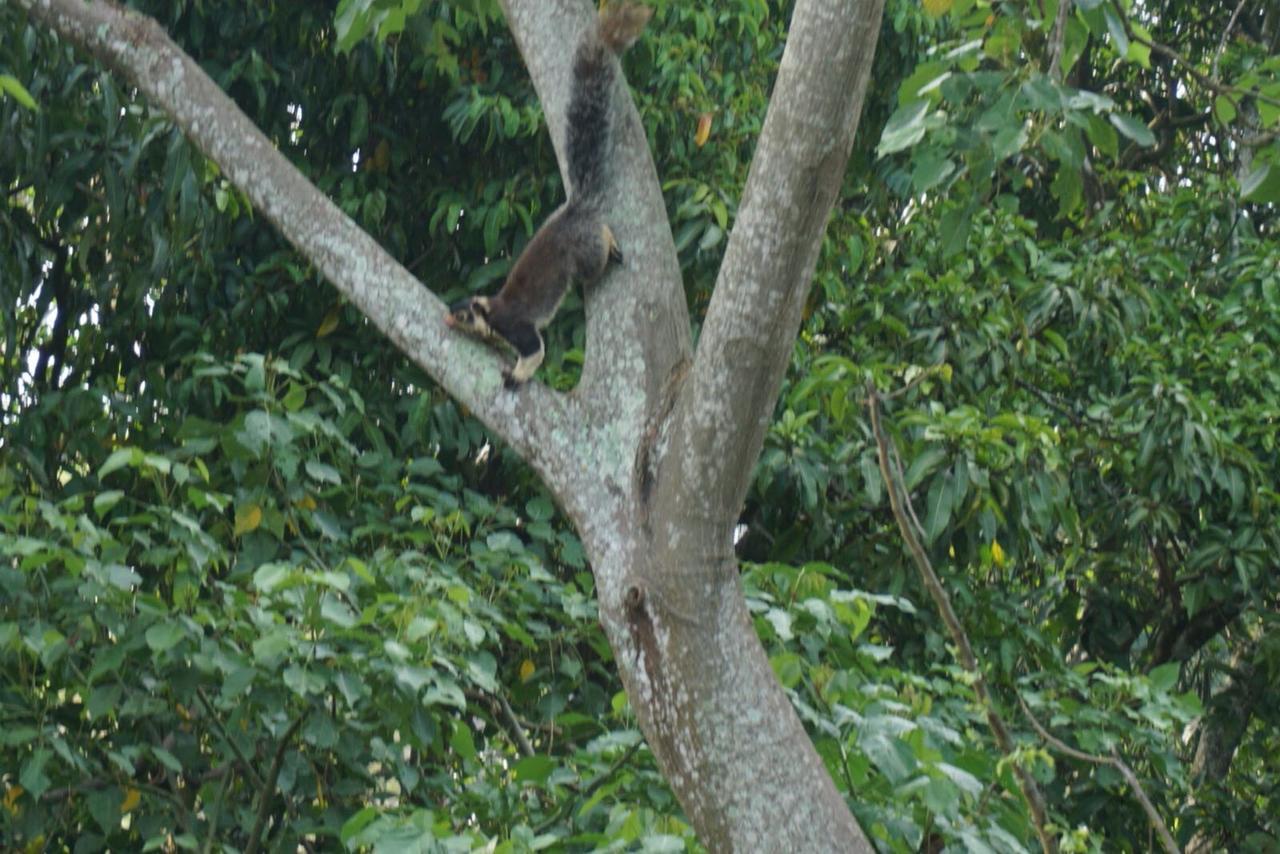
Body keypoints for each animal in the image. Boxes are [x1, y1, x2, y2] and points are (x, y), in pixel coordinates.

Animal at [448, 1, 650, 389]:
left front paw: (515, 375)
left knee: (597, 254)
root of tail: (576, 208)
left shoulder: (514, 325)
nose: (447, 320)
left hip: (585, 254)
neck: (491, 312)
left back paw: (610, 244)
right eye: (453, 309)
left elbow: (534, 350)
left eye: (464, 314)